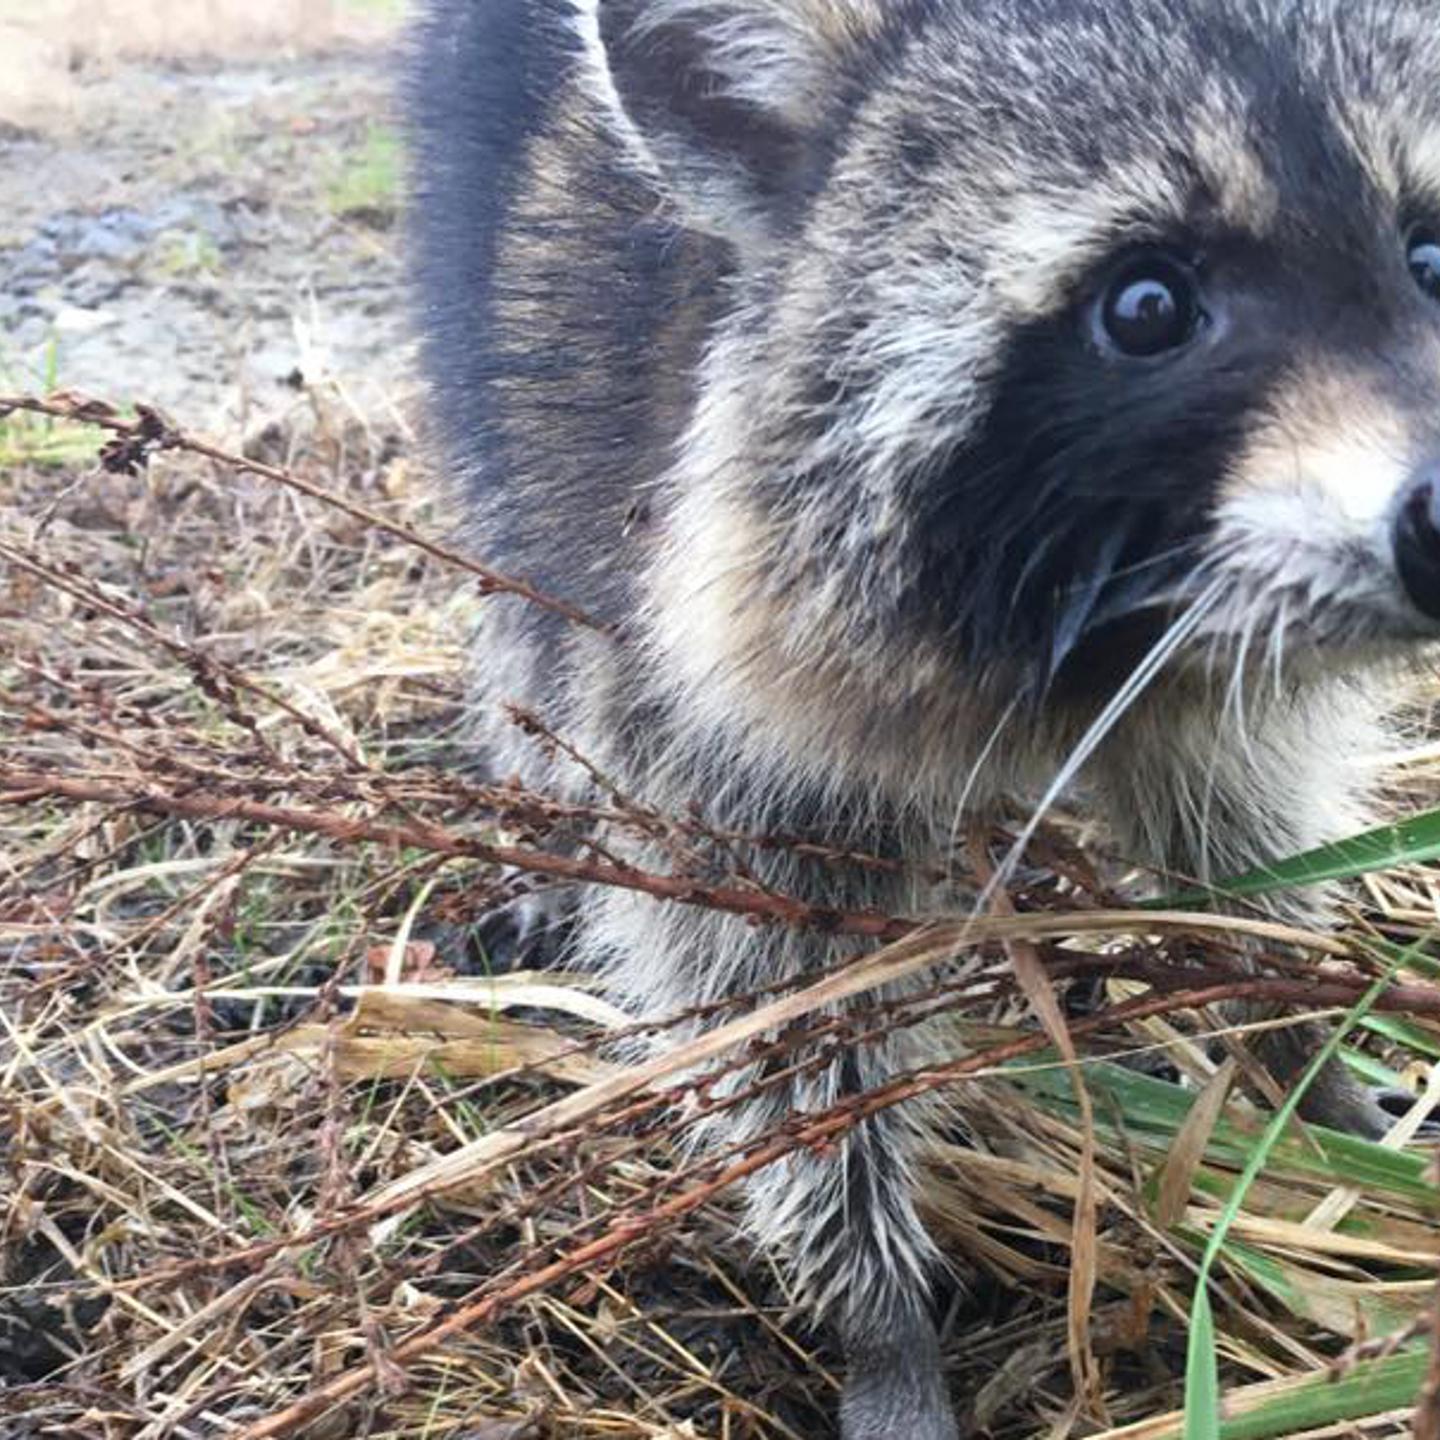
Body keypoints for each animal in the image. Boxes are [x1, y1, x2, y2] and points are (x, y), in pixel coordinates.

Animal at [408, 2, 1440, 1435]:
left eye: (1433, 251)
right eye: (1146, 307)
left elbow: (1240, 844)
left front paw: (1307, 1063)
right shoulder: (678, 632)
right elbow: (779, 1001)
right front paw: (879, 1321)